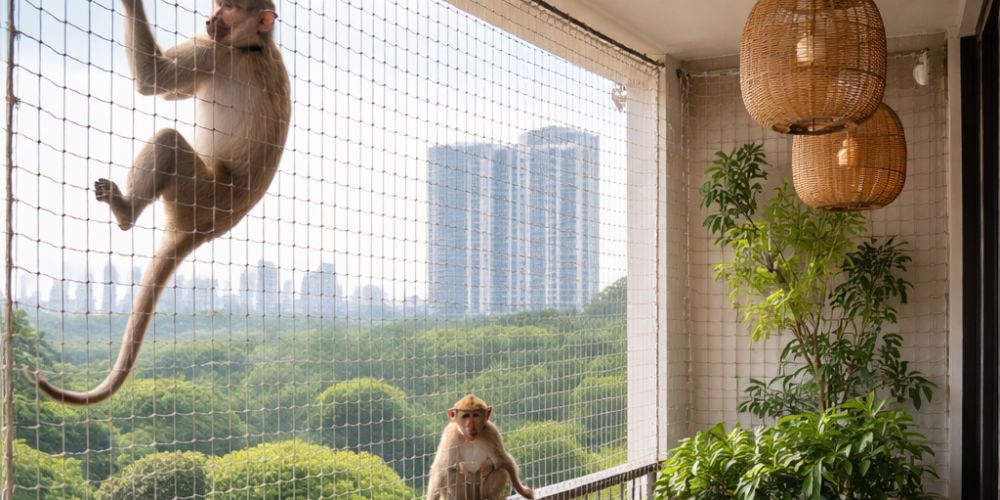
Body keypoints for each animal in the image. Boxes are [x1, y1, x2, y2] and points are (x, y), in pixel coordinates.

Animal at [34, 0, 291, 405]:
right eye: (218, 6)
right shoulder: (215, 45)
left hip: (199, 192)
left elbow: (154, 80)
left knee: (169, 141)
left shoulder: (214, 52)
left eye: (228, 10)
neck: (253, 45)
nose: (210, 19)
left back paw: (126, 211)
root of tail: (207, 227)